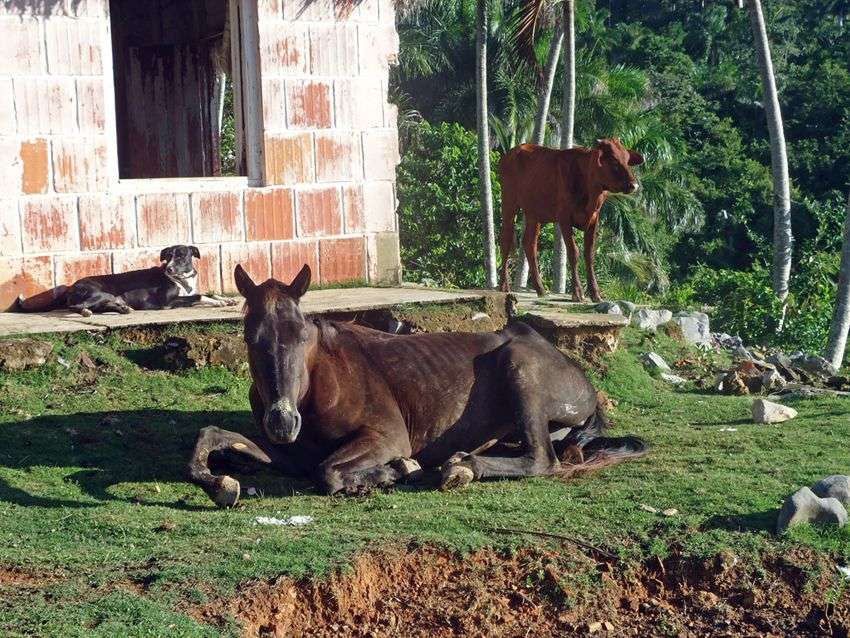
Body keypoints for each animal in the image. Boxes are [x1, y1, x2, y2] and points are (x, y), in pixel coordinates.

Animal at [16, 244, 235, 316]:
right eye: (167, 256)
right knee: (76, 307)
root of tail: (71, 286)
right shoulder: (168, 302)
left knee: (103, 306)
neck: (182, 280)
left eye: (181, 256)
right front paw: (217, 302)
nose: (169, 268)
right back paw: (86, 311)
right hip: (100, 292)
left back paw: (123, 309)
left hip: (108, 297)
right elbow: (199, 297)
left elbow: (207, 293)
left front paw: (226, 300)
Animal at [186, 262, 644, 508]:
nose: (283, 422)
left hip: (521, 368)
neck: (319, 383)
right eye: (250, 338)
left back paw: (460, 468)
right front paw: (222, 482)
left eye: (301, 336)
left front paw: (393, 471)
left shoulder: (386, 436)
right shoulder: (289, 453)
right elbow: (209, 437)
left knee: (541, 460)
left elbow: (328, 473)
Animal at [496, 138, 644, 302]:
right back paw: (504, 286)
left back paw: (541, 289)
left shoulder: (594, 219)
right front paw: (578, 292)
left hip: (533, 213)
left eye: (627, 159)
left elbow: (589, 254)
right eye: (613, 161)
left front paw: (595, 294)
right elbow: (574, 252)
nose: (634, 185)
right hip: (509, 202)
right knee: (505, 240)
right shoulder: (564, 217)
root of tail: (513, 151)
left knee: (529, 244)